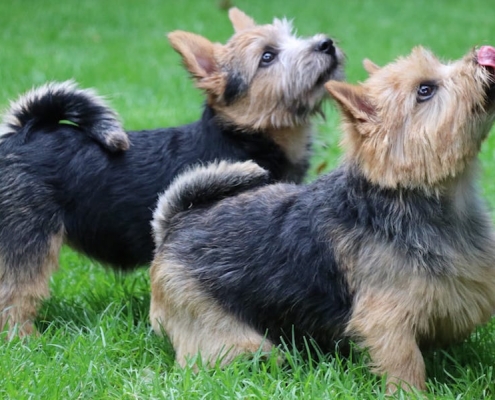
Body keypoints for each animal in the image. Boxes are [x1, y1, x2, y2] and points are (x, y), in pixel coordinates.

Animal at [0, 7, 344, 336]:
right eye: (267, 57)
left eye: (292, 36)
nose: (326, 44)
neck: (243, 136)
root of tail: (18, 134)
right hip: (27, 240)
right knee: (14, 292)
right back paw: (23, 337)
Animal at [150, 45, 495, 392]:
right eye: (425, 90)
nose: (480, 55)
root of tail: (175, 223)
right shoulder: (386, 319)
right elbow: (406, 363)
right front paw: (411, 394)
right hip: (228, 337)